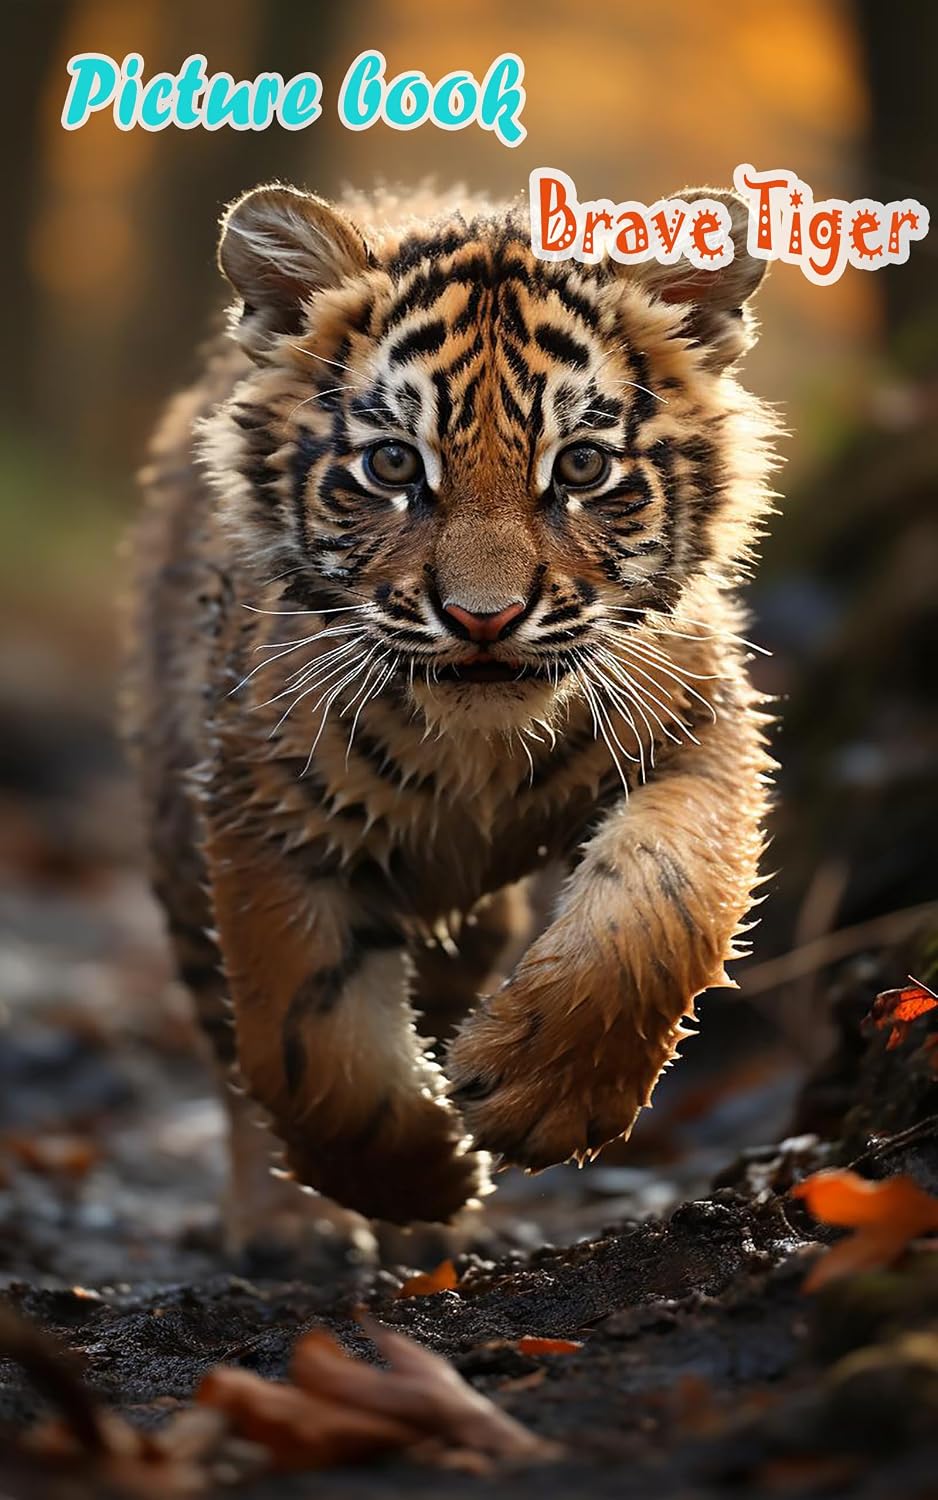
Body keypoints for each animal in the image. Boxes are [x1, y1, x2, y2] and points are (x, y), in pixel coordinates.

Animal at [121, 179, 778, 1254]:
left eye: (581, 468)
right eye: (394, 465)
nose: (483, 618)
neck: (480, 746)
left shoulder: (699, 732)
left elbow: (658, 909)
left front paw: (538, 1097)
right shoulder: (266, 810)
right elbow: (303, 1041)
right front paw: (420, 1179)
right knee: (226, 1046)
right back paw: (287, 1229)